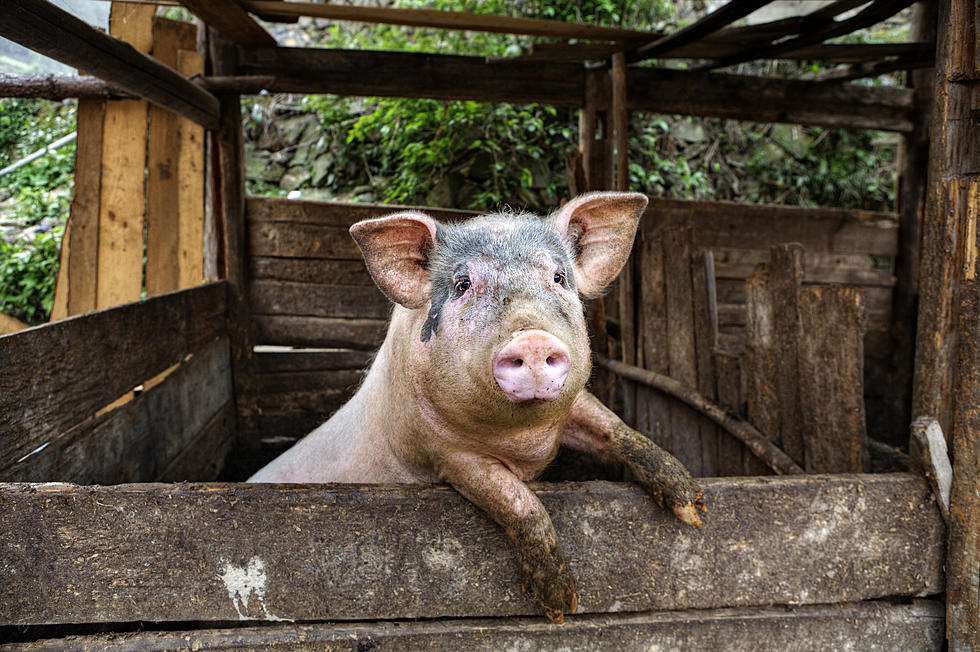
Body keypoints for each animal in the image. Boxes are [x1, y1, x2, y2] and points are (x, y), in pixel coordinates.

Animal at [247, 191, 704, 624]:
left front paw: (694, 511)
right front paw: (561, 607)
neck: (520, 438)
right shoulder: (445, 456)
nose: (532, 340)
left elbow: (616, 429)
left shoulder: (573, 404)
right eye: (464, 284)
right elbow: (517, 501)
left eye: (558, 277)